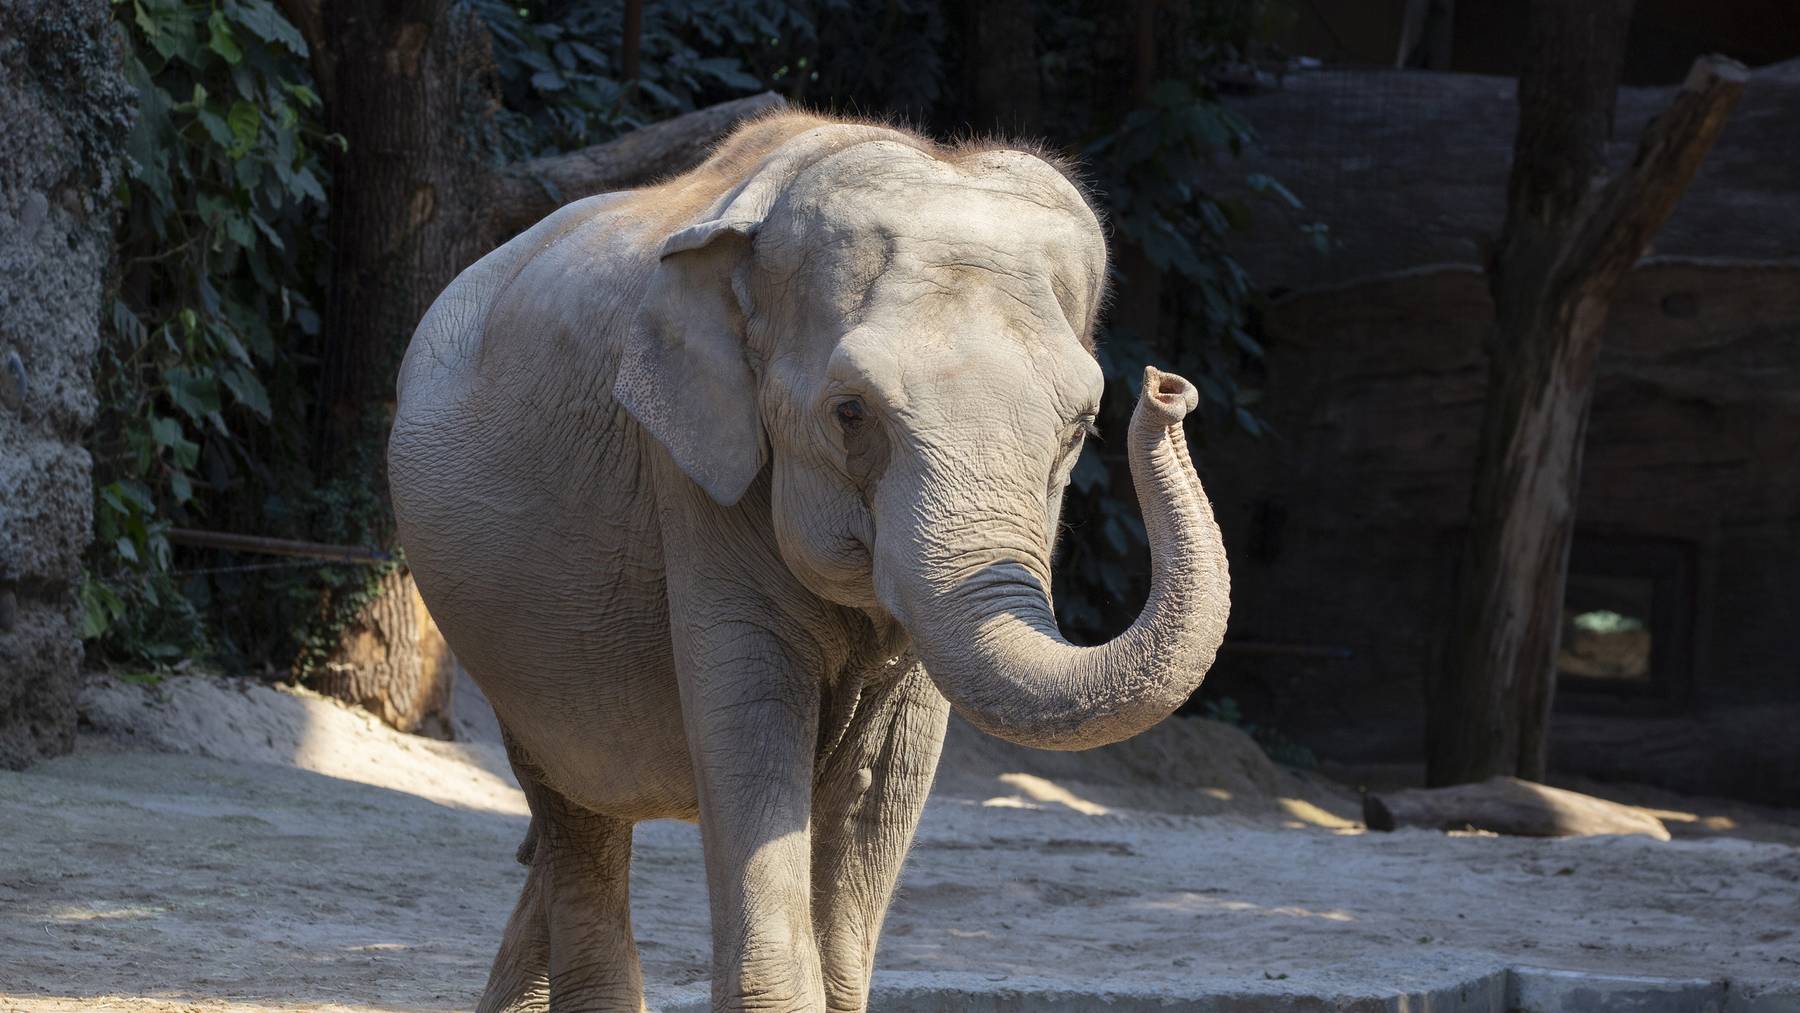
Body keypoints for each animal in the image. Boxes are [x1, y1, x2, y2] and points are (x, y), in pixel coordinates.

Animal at [390, 111, 1238, 1013]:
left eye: (1079, 427)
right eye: (850, 413)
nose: (1169, 388)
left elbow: (885, 780)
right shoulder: (694, 479)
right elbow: (751, 719)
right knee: (575, 806)